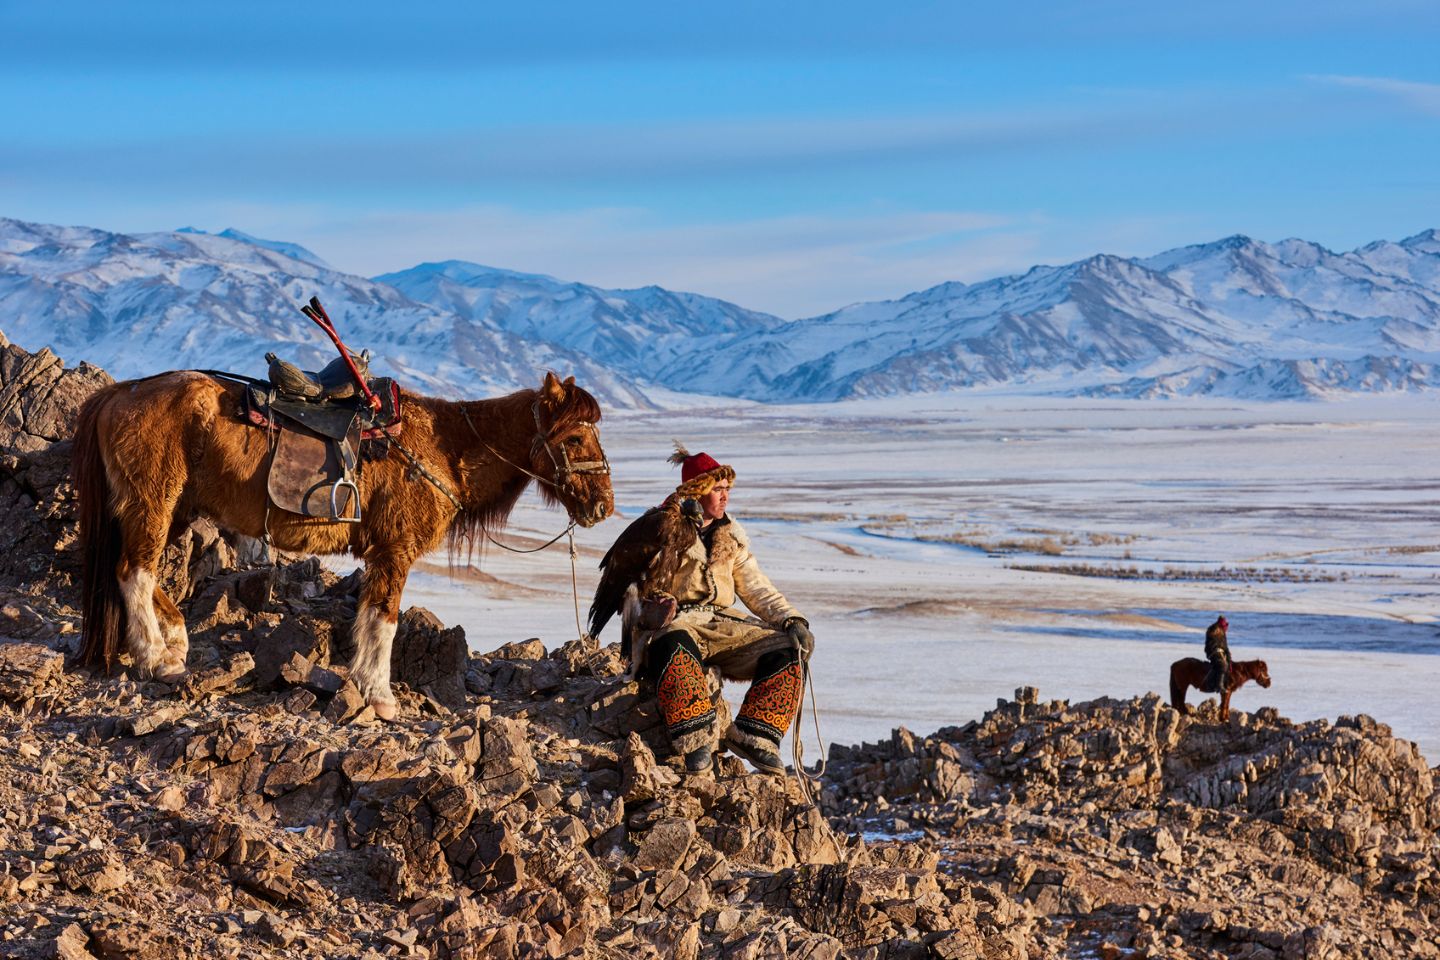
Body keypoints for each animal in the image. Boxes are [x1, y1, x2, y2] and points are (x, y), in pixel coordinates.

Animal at [73, 371, 613, 716]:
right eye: (574, 439)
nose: (605, 505)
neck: (445, 446)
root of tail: (119, 394)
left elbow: (370, 617)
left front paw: (365, 684)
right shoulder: (395, 551)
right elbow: (384, 621)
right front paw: (380, 695)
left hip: (176, 509)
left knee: (142, 573)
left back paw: (175, 643)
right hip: (153, 501)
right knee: (134, 572)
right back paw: (154, 659)